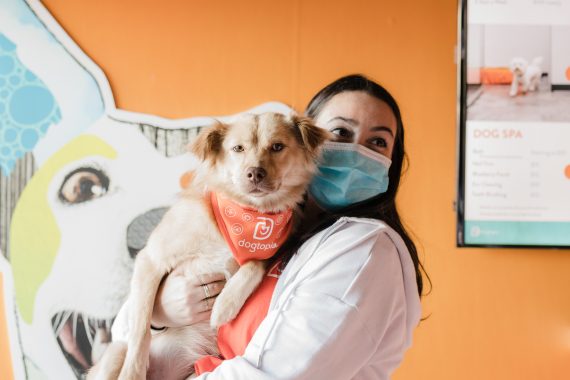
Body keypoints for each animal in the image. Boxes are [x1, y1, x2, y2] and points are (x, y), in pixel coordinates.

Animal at [88, 113, 328, 380]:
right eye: (238, 148)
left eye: (277, 146)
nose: (255, 173)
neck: (248, 214)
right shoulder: (150, 259)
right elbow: (140, 328)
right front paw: (133, 373)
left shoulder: (271, 248)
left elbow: (255, 263)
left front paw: (225, 304)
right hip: (114, 353)